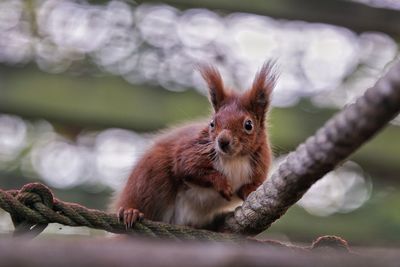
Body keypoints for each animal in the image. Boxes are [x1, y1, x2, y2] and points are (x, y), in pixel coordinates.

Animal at [113, 62, 276, 228]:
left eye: (248, 125)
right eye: (212, 123)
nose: (222, 141)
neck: (234, 158)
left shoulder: (259, 166)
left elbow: (249, 186)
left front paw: (251, 191)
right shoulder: (192, 150)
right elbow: (189, 167)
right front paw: (222, 184)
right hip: (149, 177)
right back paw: (130, 212)